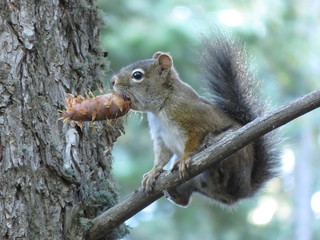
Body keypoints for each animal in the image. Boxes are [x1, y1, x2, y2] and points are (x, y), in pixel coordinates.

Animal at [110, 34, 278, 207]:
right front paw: (153, 172)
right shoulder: (160, 136)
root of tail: (243, 190)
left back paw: (209, 147)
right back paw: (174, 192)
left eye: (137, 75)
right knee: (184, 200)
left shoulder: (193, 118)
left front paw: (185, 158)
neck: (160, 107)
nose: (112, 81)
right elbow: (162, 156)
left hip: (235, 152)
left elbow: (194, 138)